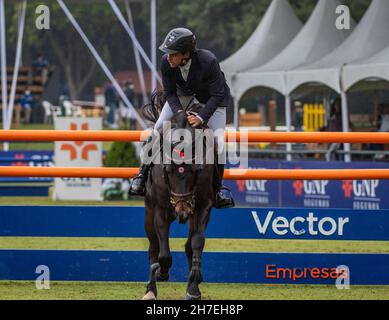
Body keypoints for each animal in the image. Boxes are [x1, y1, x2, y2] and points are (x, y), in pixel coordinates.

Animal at [142, 92, 215, 300]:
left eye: (196, 170)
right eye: (167, 170)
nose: (182, 211)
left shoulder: (203, 207)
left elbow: (197, 242)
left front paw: (194, 288)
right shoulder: (160, 209)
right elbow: (163, 254)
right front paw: (162, 272)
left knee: (189, 245)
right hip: (149, 211)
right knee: (153, 247)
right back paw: (151, 289)